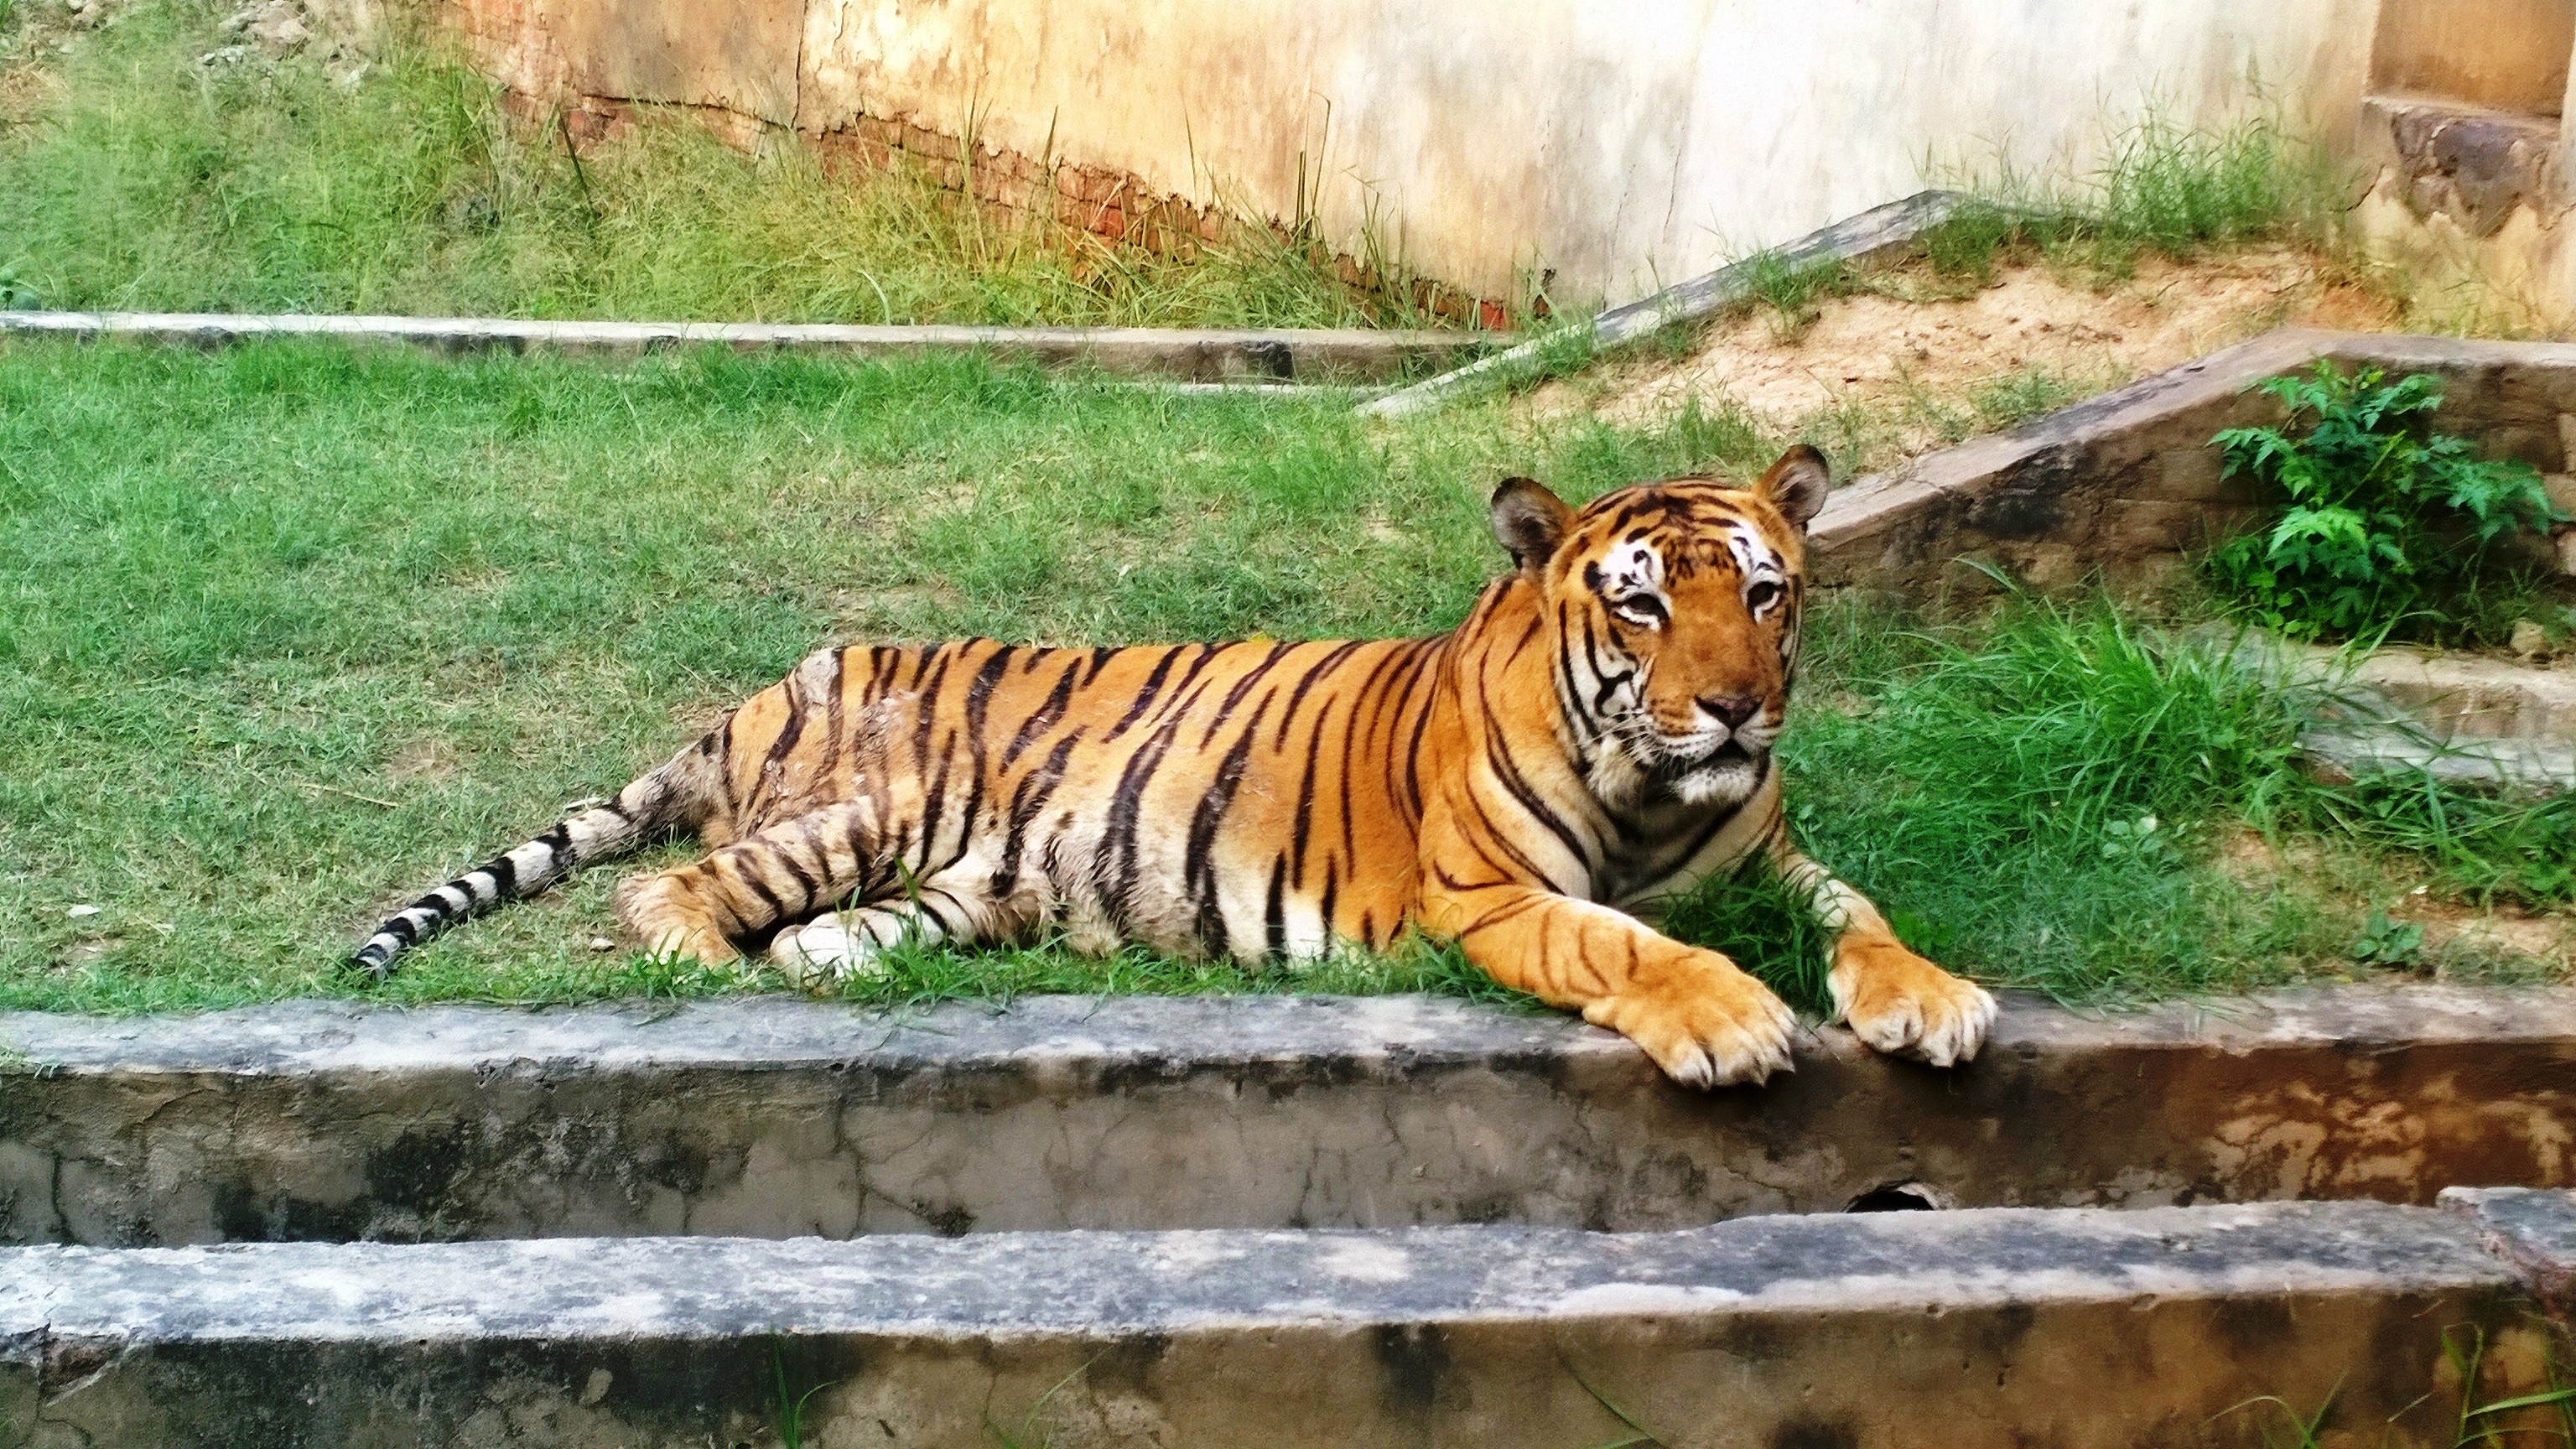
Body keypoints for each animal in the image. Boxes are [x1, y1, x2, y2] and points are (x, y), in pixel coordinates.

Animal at [347, 445, 1988, 1078]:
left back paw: (822, 969)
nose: (1733, 710)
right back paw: (707, 977)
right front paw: (1733, 1021)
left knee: (827, 936)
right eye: (1643, 603)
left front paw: (1937, 1001)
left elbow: (1865, 916)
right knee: (667, 894)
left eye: (1763, 591)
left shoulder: (1773, 858)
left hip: (971, 883)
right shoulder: (1489, 898)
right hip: (862, 814)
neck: (1654, 794)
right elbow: (1628, 945)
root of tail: (766, 686)